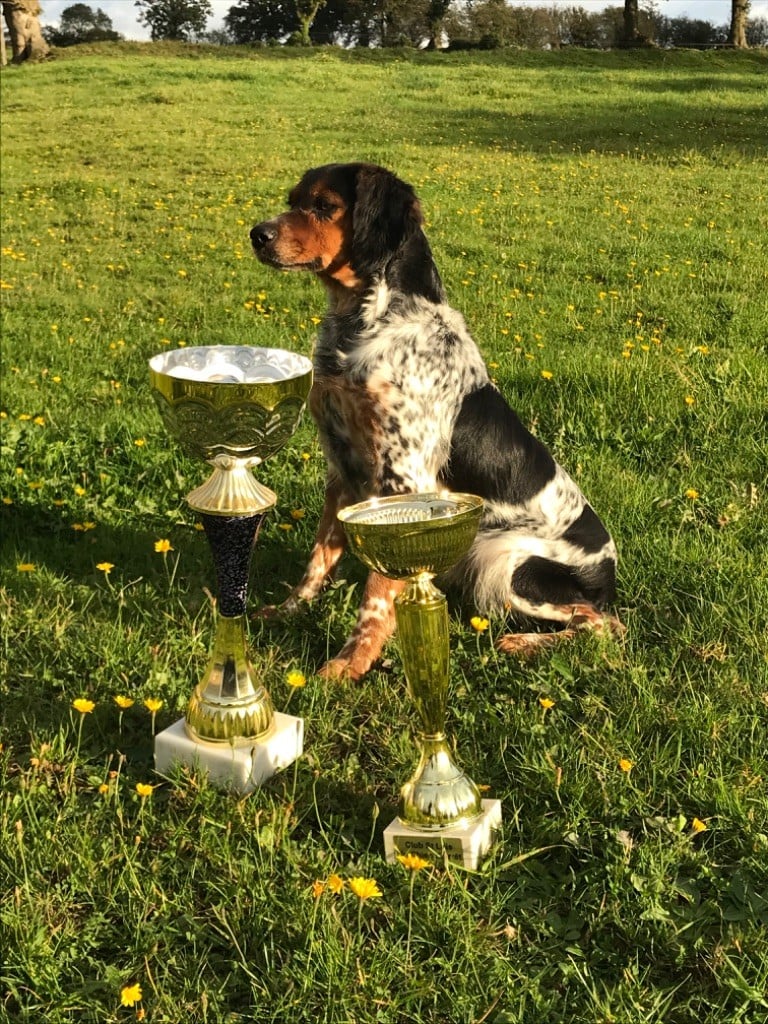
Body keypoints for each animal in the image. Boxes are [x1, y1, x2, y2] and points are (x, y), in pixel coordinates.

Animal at [249, 161, 622, 679]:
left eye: (324, 205)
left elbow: (375, 596)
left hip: (507, 561)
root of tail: (609, 572)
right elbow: (317, 560)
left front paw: (349, 664)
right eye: (293, 200)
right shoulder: (342, 471)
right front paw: (287, 612)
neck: (365, 324)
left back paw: (522, 643)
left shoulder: (403, 481)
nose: (256, 234)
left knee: (604, 626)